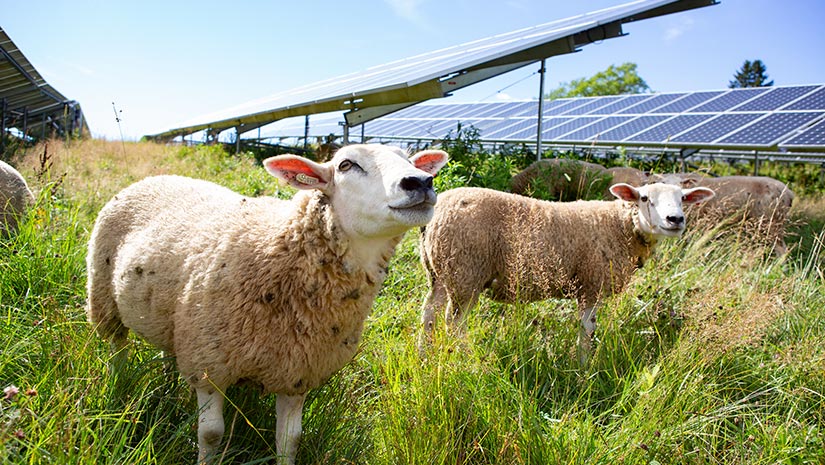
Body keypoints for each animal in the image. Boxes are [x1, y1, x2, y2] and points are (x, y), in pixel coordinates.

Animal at [86, 143, 448, 462]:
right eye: (346, 165)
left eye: (409, 159)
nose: (420, 182)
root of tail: (157, 176)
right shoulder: (209, 363)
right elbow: (211, 435)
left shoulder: (298, 370)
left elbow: (290, 439)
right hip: (104, 298)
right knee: (117, 348)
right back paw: (117, 388)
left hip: (172, 318)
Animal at [418, 181, 716, 362]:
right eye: (644, 198)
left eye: (683, 198)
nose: (675, 220)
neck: (620, 225)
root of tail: (438, 209)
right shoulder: (592, 283)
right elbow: (588, 328)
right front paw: (584, 365)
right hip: (466, 271)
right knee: (455, 324)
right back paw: (468, 361)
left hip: (439, 272)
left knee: (429, 313)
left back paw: (424, 355)